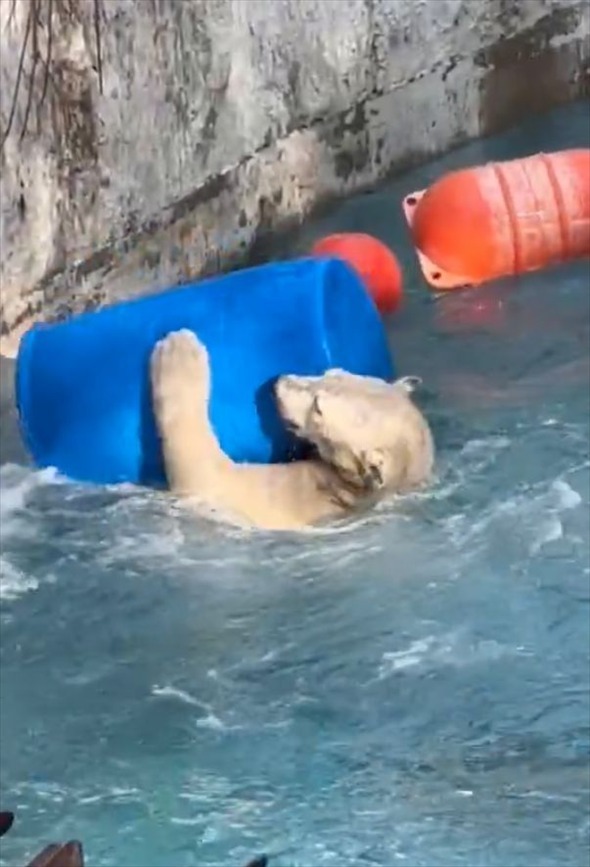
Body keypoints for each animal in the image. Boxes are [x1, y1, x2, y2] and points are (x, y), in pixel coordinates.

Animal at [149, 328, 434, 528]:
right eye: (332, 371)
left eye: (318, 407)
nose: (278, 381)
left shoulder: (292, 497)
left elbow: (209, 476)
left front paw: (179, 349)